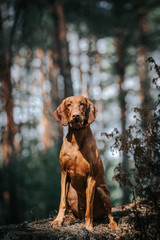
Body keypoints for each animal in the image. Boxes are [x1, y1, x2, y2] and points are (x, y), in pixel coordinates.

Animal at [51, 95, 119, 231]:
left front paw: (88, 226)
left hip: (102, 190)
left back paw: (113, 225)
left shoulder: (91, 177)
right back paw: (70, 219)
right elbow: (62, 201)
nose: (76, 115)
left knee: (109, 213)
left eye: (82, 104)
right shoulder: (64, 173)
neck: (76, 138)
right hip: (70, 190)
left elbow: (89, 206)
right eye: (69, 104)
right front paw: (58, 220)